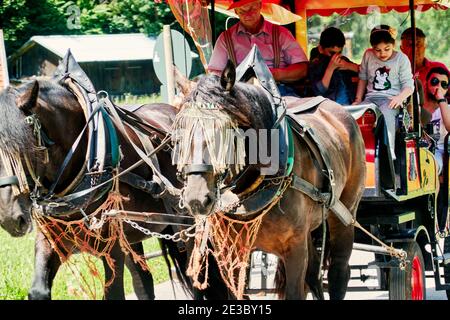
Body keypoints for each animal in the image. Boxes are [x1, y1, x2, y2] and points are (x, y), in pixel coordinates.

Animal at [172, 63, 366, 300]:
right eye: (178, 136)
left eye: (222, 133)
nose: (196, 199)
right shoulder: (231, 252)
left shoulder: (294, 248)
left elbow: (296, 292)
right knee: (314, 275)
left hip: (345, 212)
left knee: (339, 270)